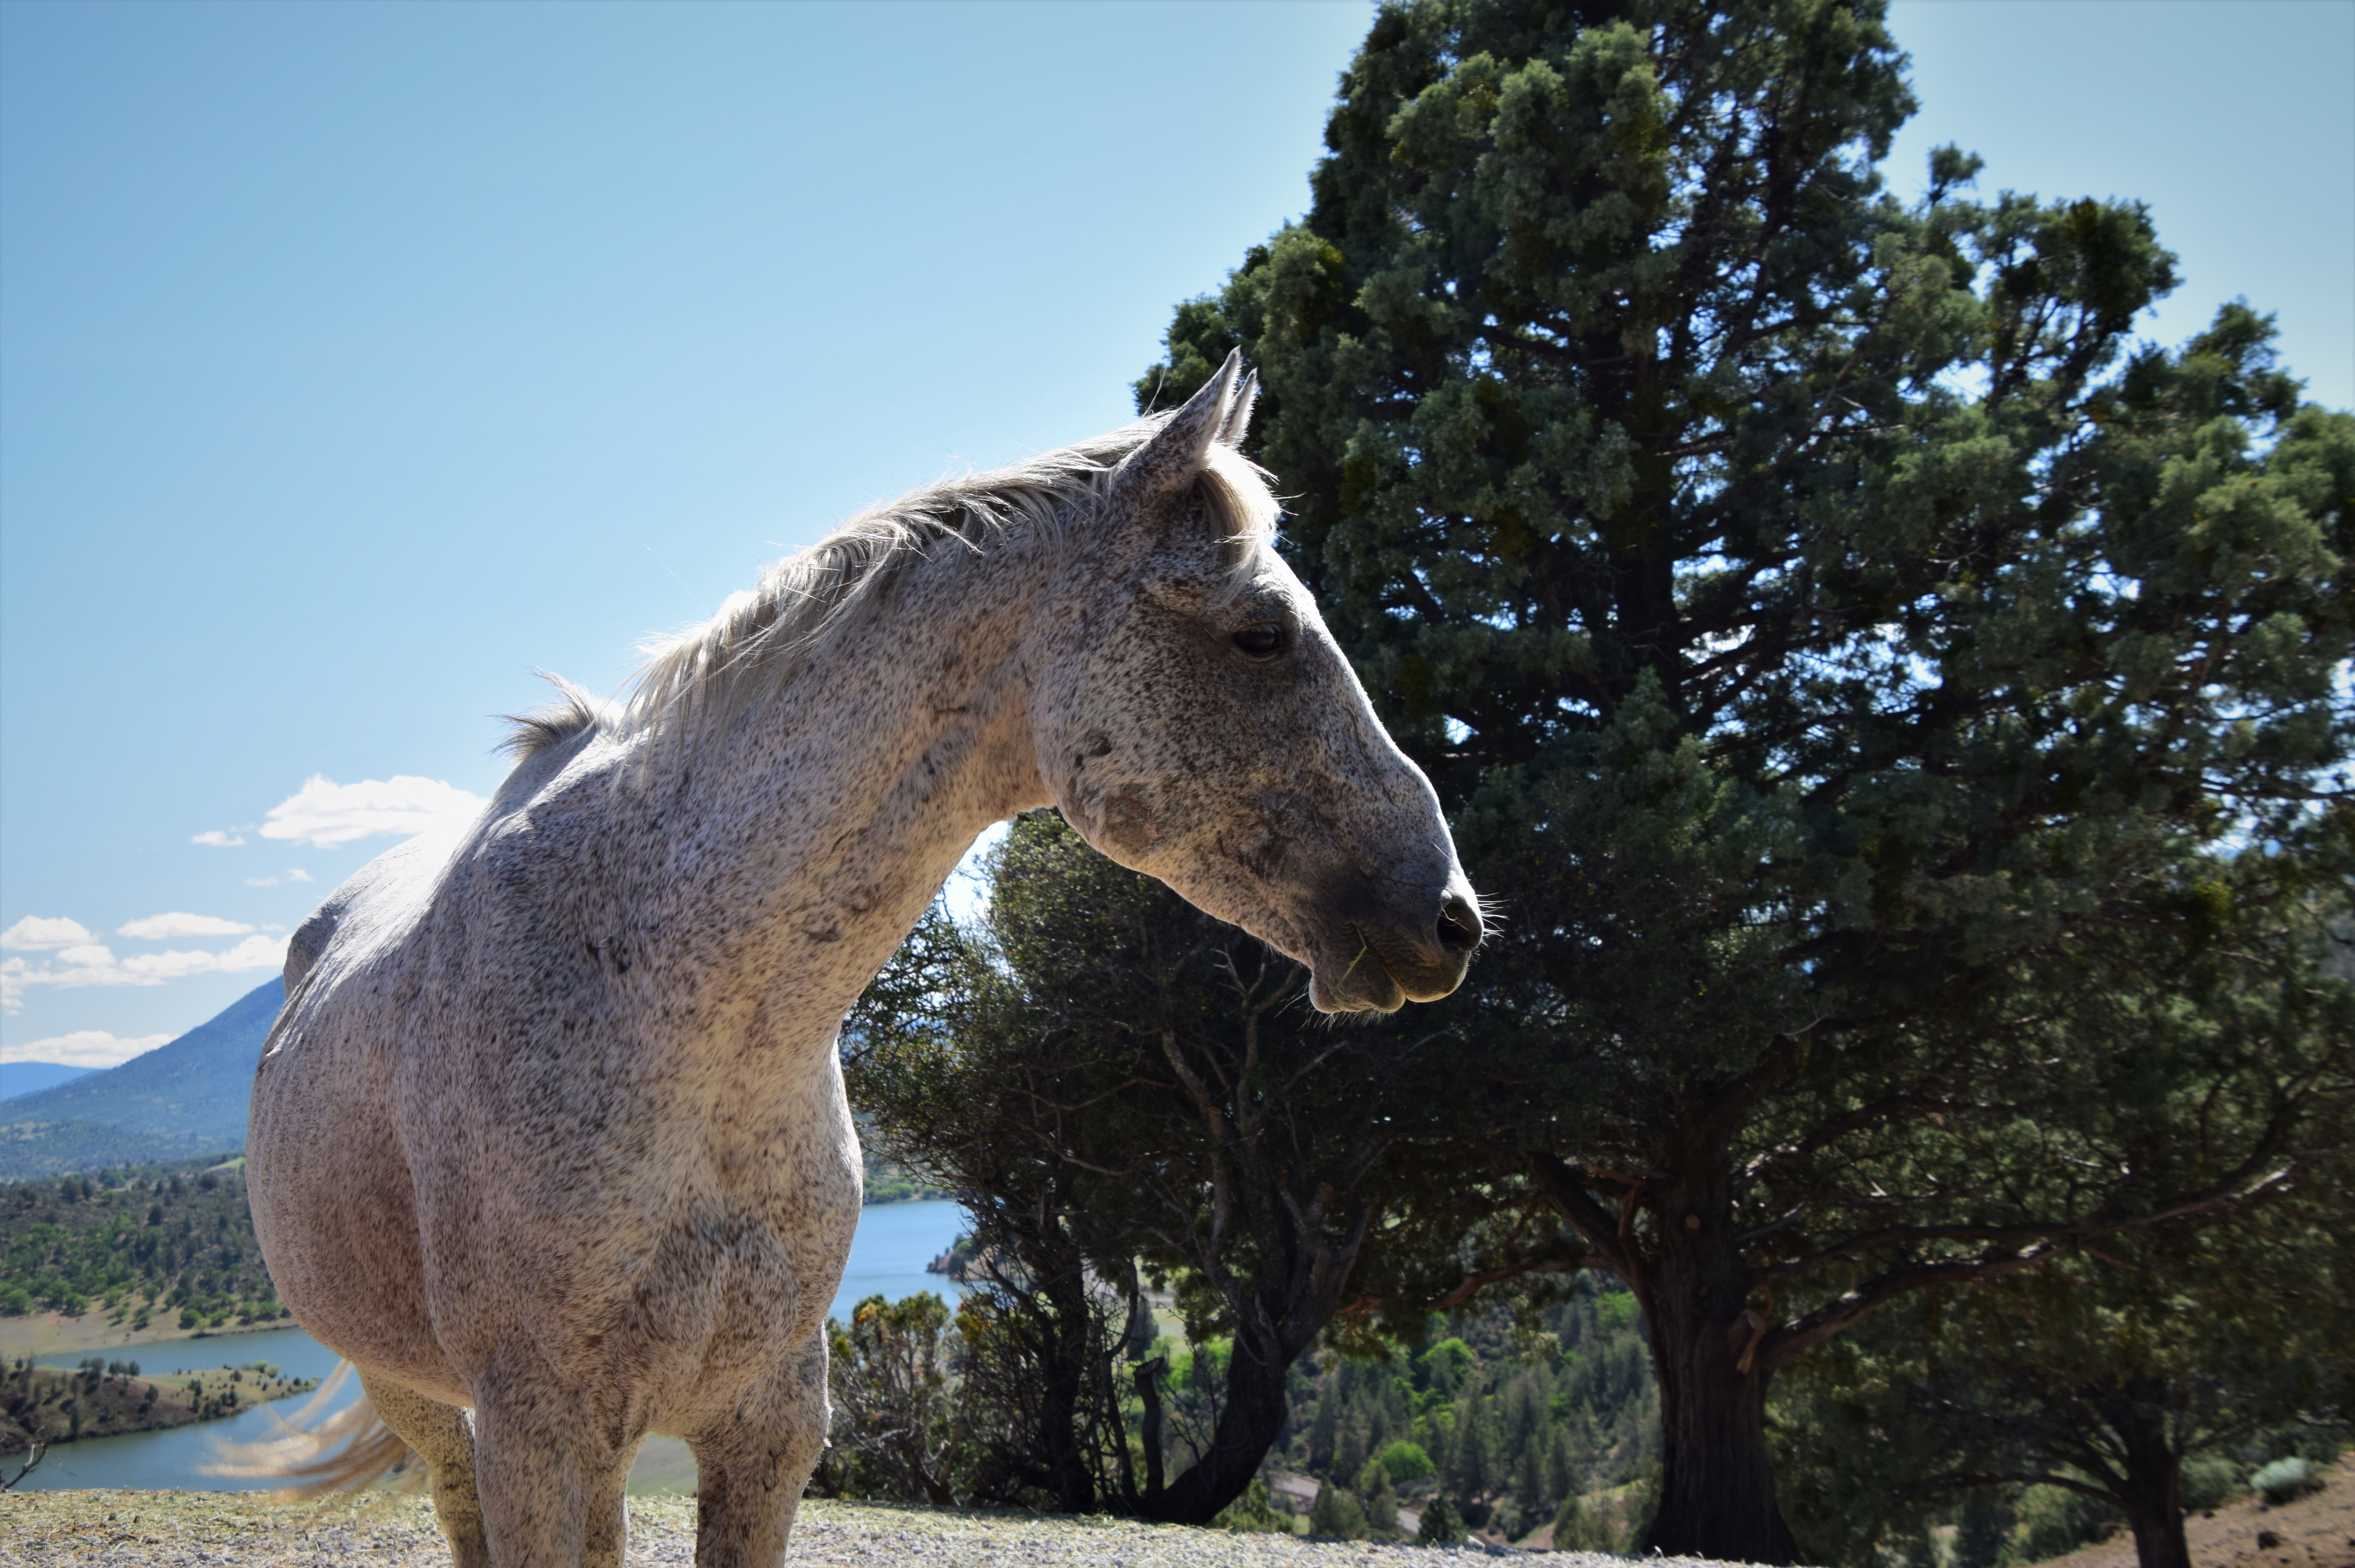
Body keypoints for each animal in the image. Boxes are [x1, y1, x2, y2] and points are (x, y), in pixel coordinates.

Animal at [248, 358, 1479, 1563]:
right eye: (1262, 634)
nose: (1453, 918)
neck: (666, 999)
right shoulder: (540, 1433)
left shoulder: (769, 1425)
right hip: (428, 1403)